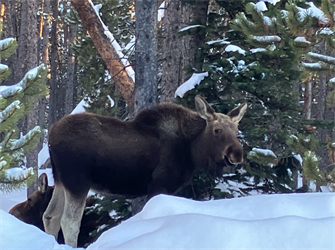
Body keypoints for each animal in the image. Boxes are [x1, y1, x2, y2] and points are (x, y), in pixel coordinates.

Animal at [42, 94, 247, 247]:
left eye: (236, 129)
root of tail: (50, 136)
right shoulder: (159, 185)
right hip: (77, 181)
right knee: (69, 221)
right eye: (217, 130)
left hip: (60, 180)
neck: (191, 150)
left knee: (50, 215)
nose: (237, 155)